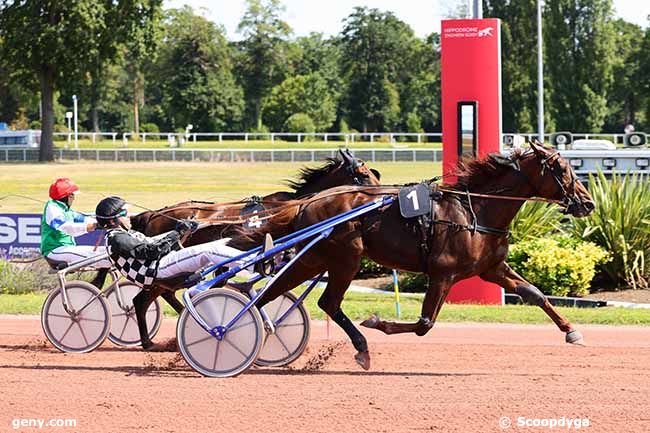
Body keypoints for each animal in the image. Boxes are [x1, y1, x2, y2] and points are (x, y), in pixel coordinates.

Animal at [228, 141, 592, 368]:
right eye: (562, 169)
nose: (587, 203)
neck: (474, 211)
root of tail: (308, 203)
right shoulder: (443, 273)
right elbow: (423, 324)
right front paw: (377, 322)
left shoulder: (492, 268)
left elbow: (536, 294)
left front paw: (572, 331)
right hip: (345, 258)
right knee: (325, 302)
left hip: (315, 258)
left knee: (271, 292)